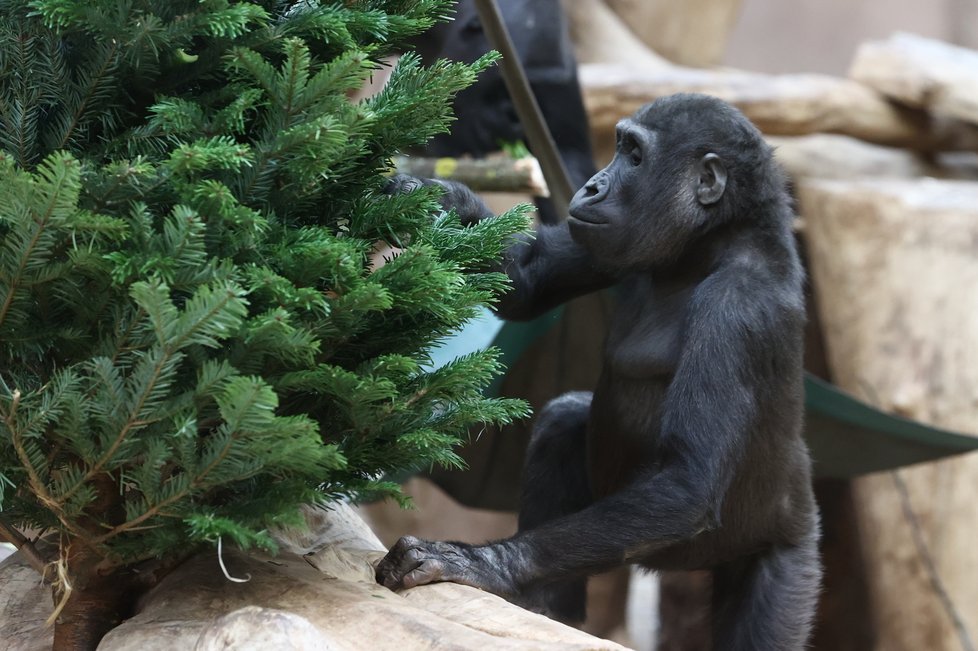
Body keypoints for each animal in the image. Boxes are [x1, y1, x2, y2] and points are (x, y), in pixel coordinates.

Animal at [378, 94, 820, 648]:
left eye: (634, 156)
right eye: (621, 147)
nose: (591, 184)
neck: (710, 243)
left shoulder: (737, 310)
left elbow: (686, 482)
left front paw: (483, 562)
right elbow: (528, 281)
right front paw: (428, 195)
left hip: (788, 554)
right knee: (565, 418)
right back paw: (544, 608)